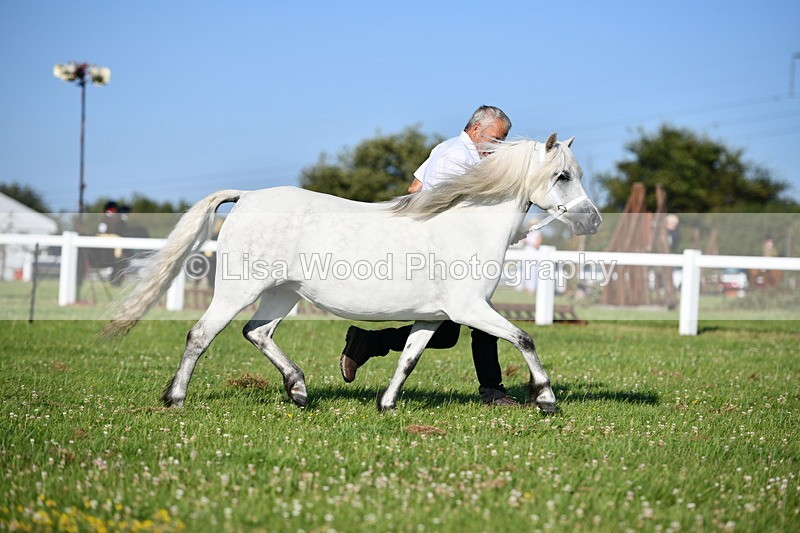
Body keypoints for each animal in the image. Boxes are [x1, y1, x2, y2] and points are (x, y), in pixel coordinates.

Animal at [104, 133, 601, 412]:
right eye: (562, 176)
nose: (592, 221)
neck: (467, 226)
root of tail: (247, 196)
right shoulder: (470, 308)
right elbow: (524, 339)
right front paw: (546, 399)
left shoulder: (434, 316)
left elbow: (408, 358)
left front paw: (386, 405)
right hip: (236, 289)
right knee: (201, 335)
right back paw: (175, 399)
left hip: (283, 293)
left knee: (257, 332)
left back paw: (299, 391)